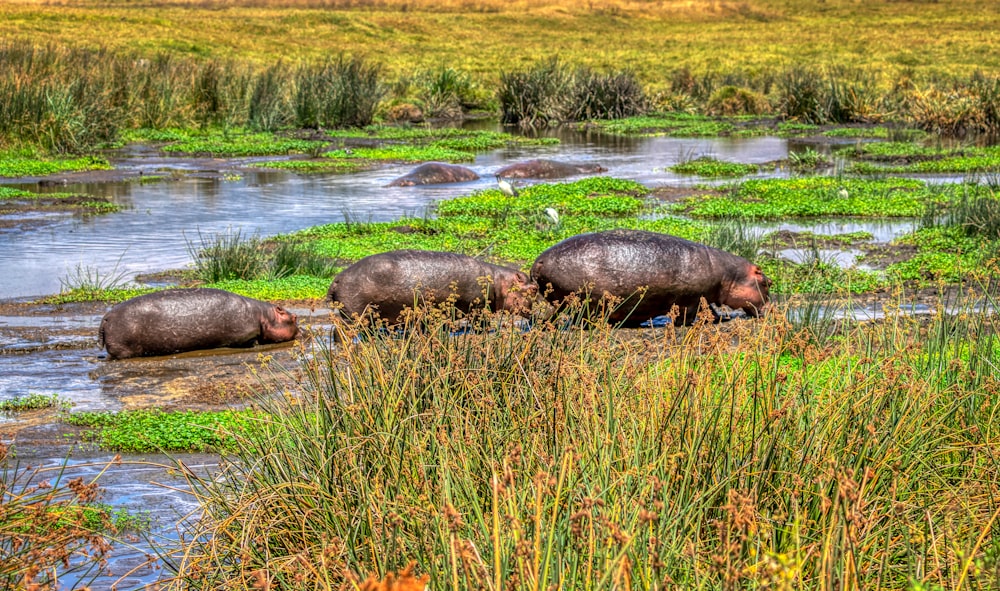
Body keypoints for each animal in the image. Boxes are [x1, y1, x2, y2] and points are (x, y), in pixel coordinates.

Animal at [99, 288, 298, 360]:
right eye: (295, 317)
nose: (302, 330)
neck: (264, 316)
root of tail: (106, 317)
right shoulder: (245, 335)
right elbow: (251, 341)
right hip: (124, 348)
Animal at [328, 250, 540, 324]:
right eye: (533, 289)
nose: (539, 314)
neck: (497, 280)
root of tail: (336, 279)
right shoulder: (478, 307)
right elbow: (481, 324)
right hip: (354, 314)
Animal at [532, 230, 772, 328]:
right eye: (767, 283)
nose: (770, 311)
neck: (729, 275)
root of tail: (539, 261)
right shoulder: (691, 299)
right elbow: (689, 315)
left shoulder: (704, 297)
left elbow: (711, 310)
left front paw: (721, 318)